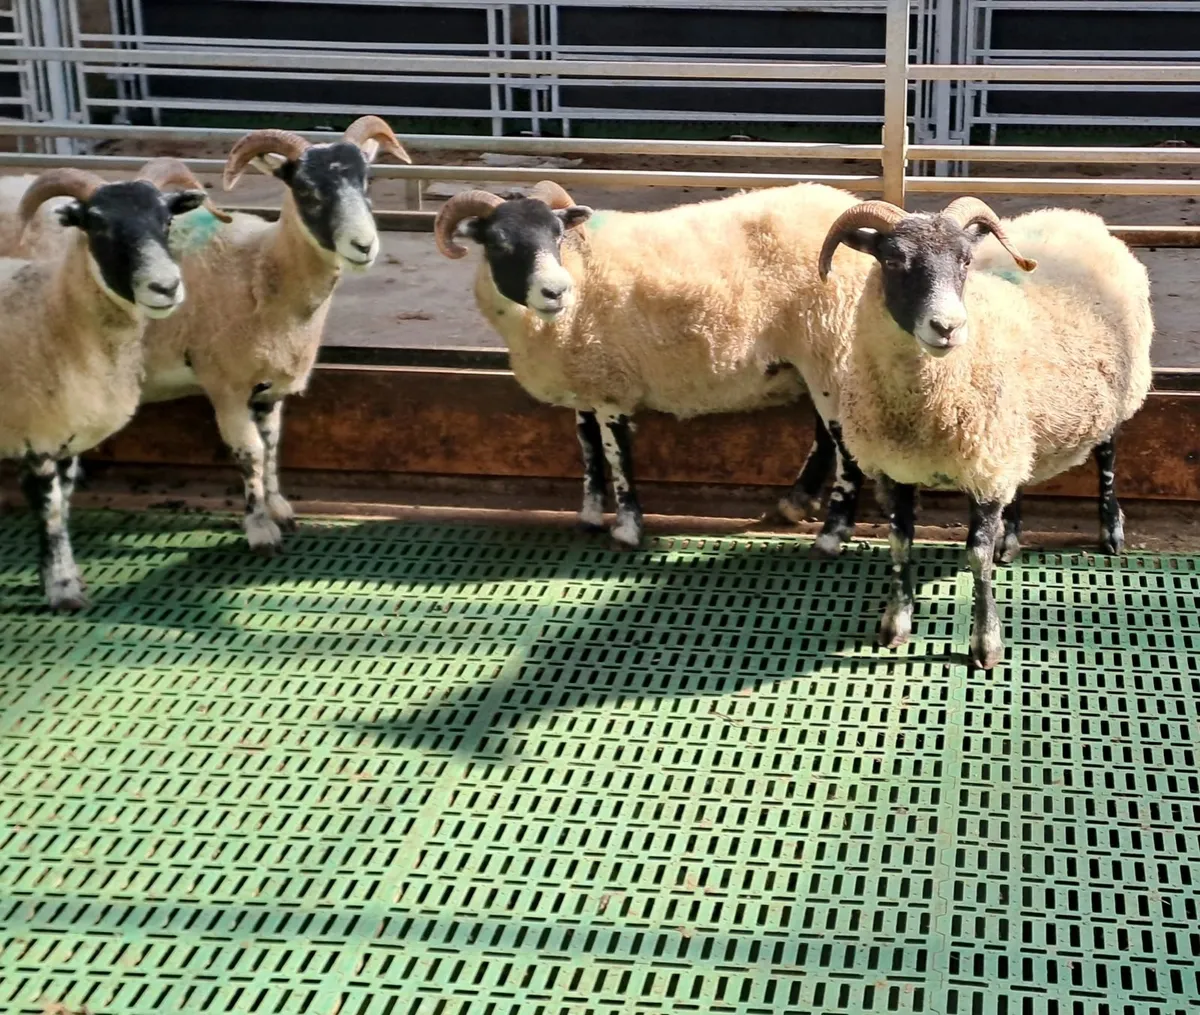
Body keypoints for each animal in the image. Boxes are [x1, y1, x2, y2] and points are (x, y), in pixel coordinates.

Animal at [0, 161, 209, 609]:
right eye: (97, 224)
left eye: (167, 219)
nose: (166, 287)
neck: (52, 314)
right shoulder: (37, 432)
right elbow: (50, 509)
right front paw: (62, 591)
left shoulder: (67, 435)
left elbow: (63, 500)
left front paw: (59, 577)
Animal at [433, 179, 879, 553]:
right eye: (498, 243)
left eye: (557, 235)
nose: (555, 291)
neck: (581, 275)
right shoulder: (587, 384)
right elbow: (588, 450)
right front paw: (589, 518)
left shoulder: (612, 385)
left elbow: (616, 456)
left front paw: (628, 529)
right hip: (818, 357)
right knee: (824, 434)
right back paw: (793, 505)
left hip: (831, 344)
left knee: (846, 446)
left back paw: (832, 535)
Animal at [818, 196, 1153, 669]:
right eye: (893, 259)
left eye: (965, 261)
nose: (947, 327)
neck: (920, 411)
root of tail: (1078, 217)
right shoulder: (896, 469)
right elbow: (900, 543)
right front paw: (895, 625)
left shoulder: (985, 472)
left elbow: (977, 560)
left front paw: (986, 644)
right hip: (1014, 434)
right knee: (1023, 476)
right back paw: (1009, 539)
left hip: (1116, 398)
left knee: (1107, 458)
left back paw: (1111, 531)